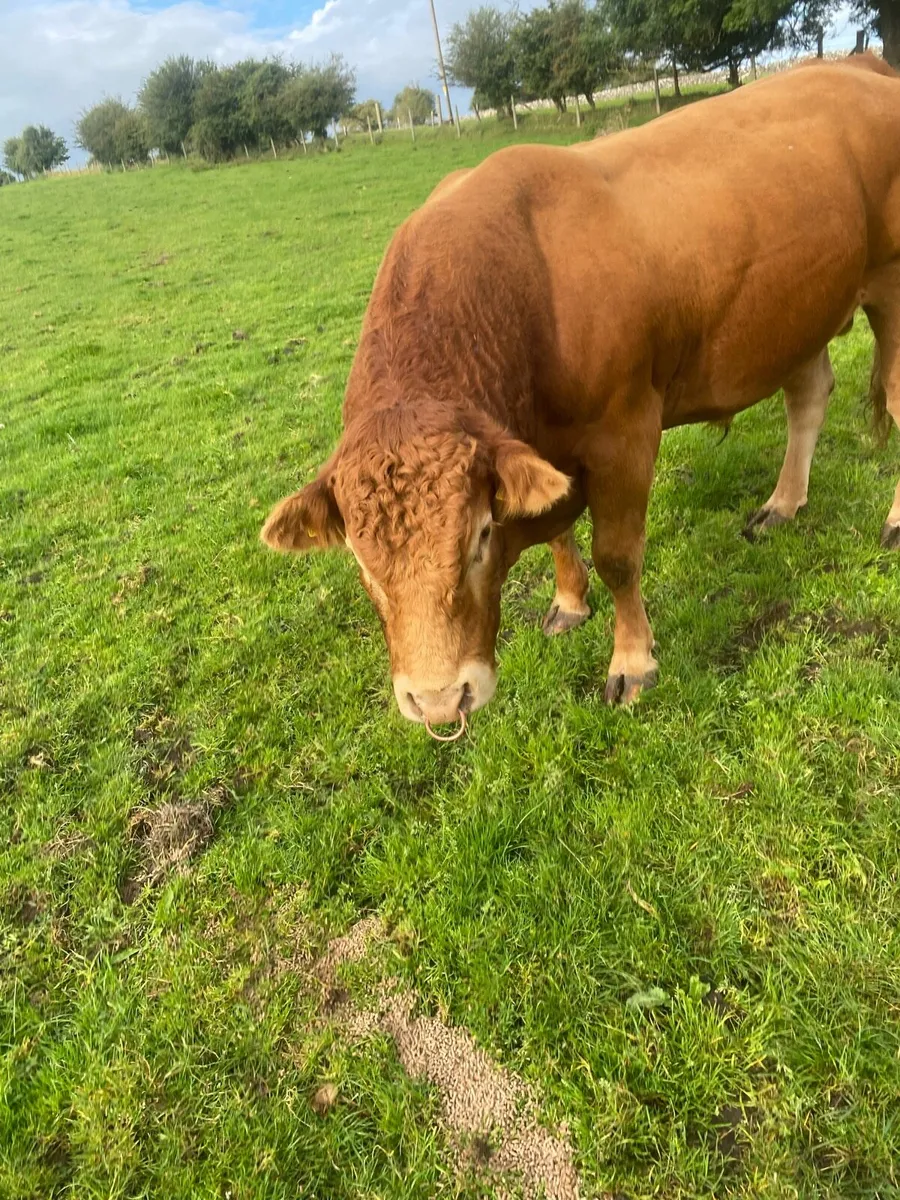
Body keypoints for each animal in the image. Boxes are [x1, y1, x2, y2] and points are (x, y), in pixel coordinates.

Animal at [262, 54, 900, 736]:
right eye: (359, 561)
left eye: (479, 537)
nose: (438, 700)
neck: (518, 292)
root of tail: (860, 64)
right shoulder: (536, 448)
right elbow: (556, 531)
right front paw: (570, 600)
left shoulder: (624, 432)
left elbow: (618, 555)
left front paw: (633, 662)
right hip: (800, 311)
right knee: (808, 396)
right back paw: (783, 502)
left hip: (890, 288)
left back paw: (891, 520)